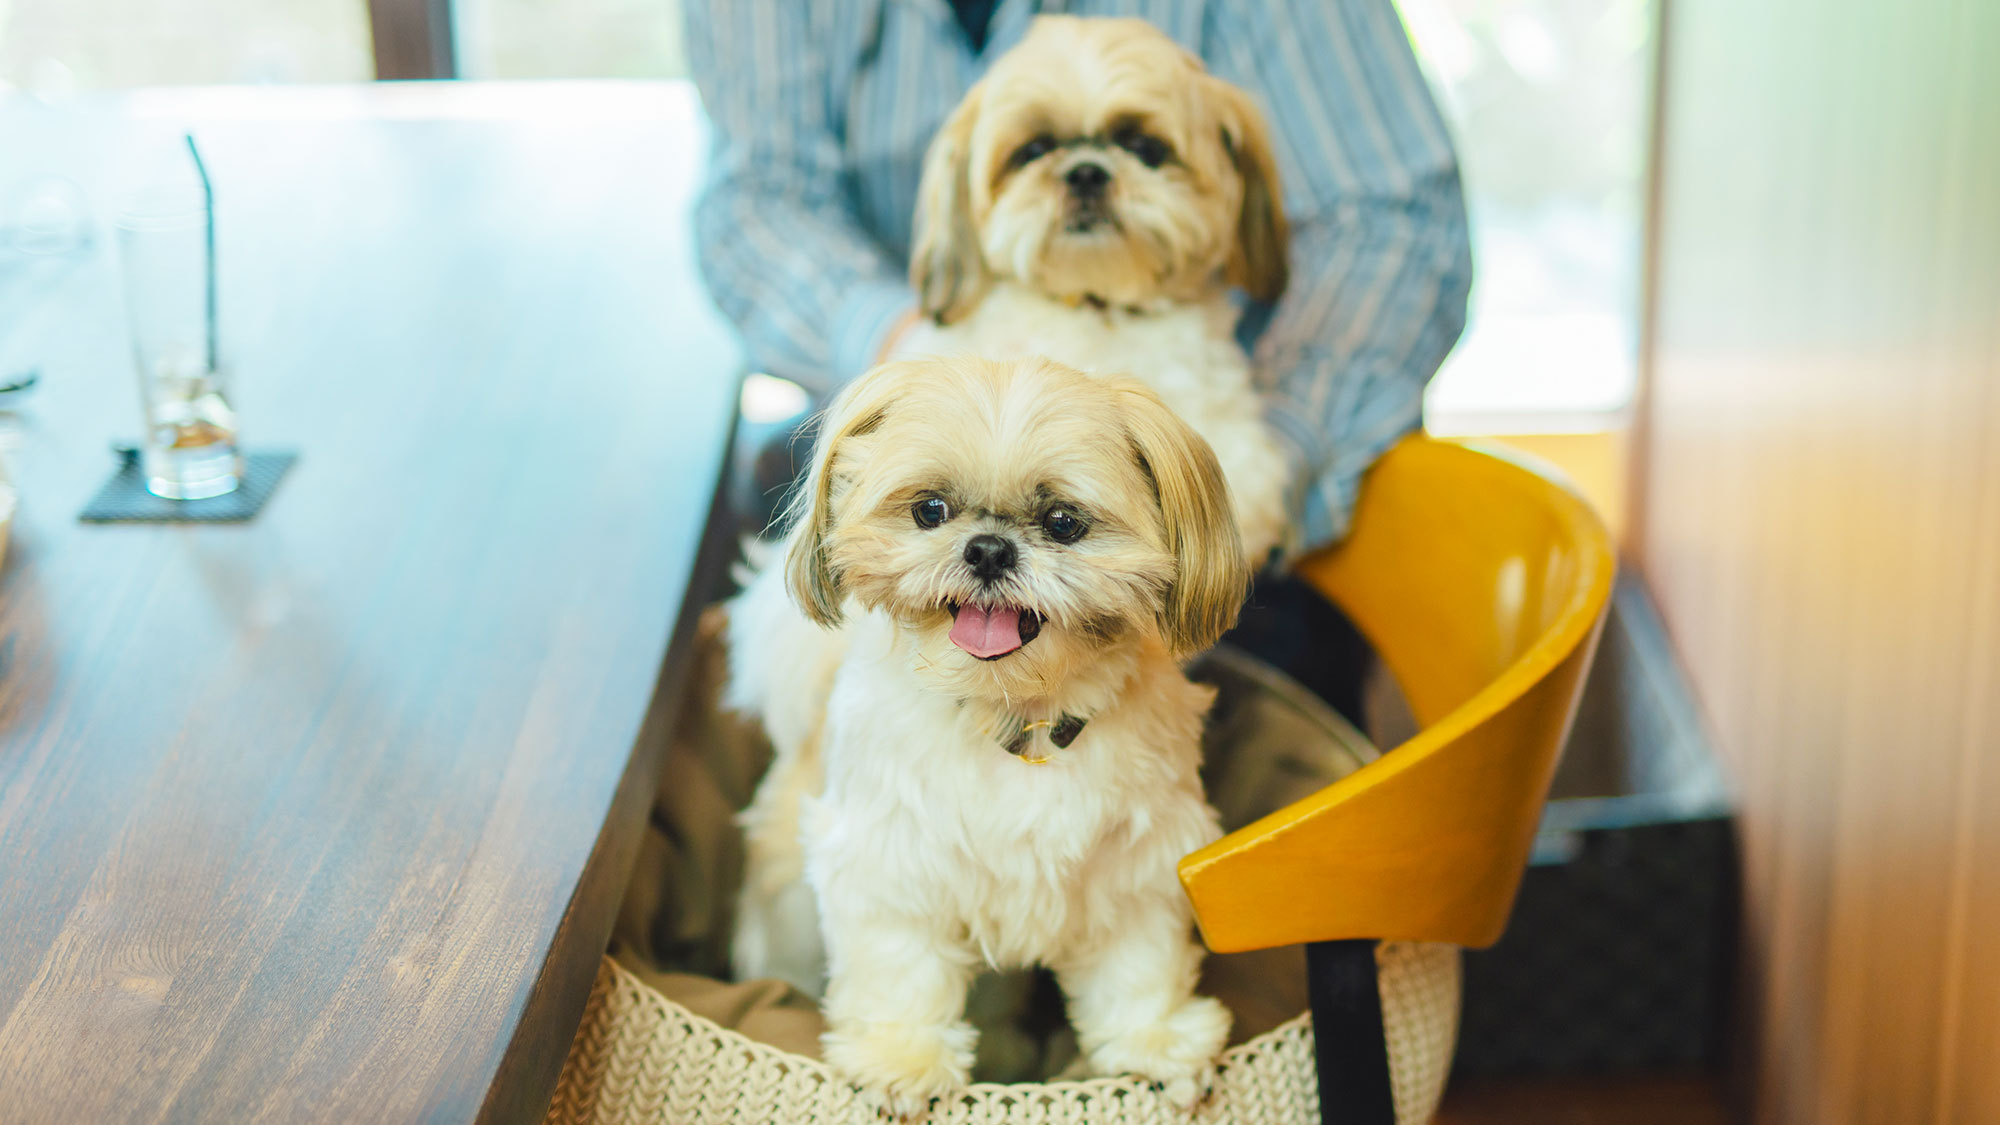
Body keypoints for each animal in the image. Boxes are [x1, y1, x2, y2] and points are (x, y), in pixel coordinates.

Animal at [728, 356, 1240, 1104]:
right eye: (930, 509)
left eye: (1063, 522)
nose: (990, 549)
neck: (1015, 716)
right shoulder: (891, 863)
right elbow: (899, 967)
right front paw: (900, 1059)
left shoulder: (1137, 866)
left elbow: (1136, 968)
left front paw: (1153, 1044)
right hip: (790, 911)